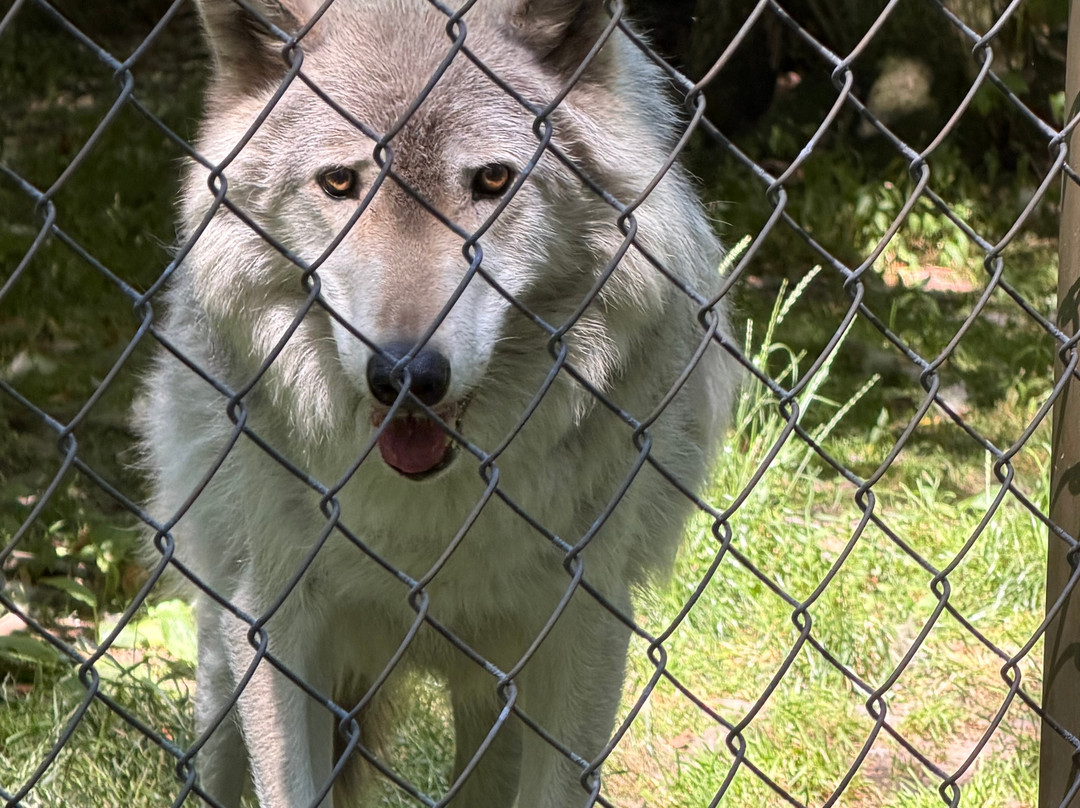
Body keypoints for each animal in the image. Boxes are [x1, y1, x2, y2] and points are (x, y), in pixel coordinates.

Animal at [135, 0, 735, 805]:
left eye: (493, 179)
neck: (430, 521)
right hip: (221, 643)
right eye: (339, 182)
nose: (406, 375)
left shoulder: (583, 623)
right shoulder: (274, 622)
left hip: (491, 697)